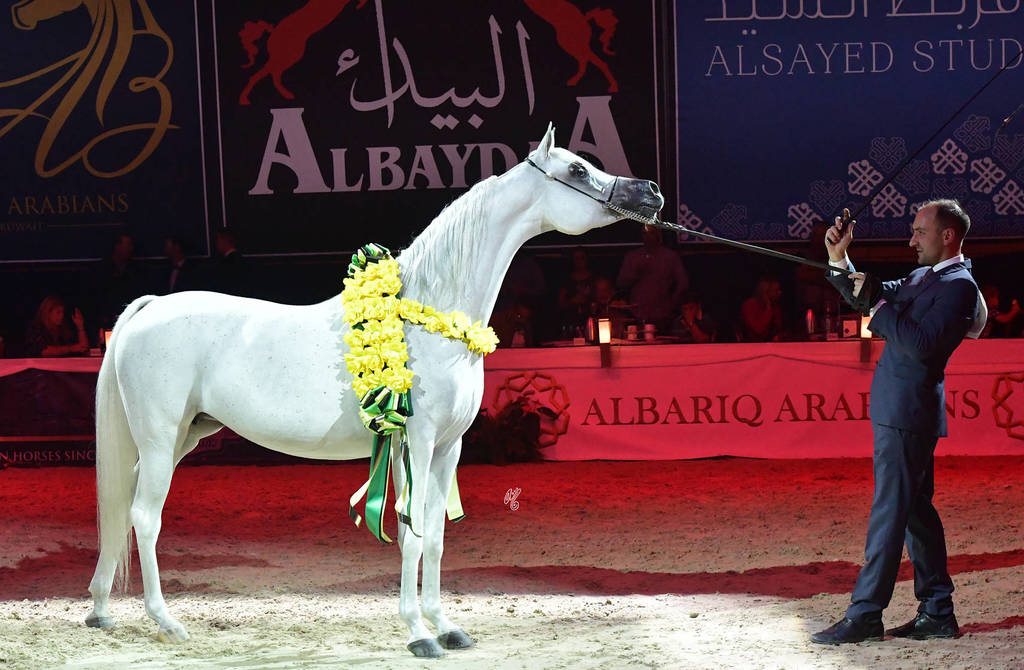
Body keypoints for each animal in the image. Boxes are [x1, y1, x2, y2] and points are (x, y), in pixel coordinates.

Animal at [84, 124, 663, 657]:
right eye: (577, 171)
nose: (652, 192)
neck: (432, 316)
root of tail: (150, 307)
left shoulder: (448, 448)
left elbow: (433, 536)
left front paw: (445, 626)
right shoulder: (418, 442)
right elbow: (412, 534)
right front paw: (419, 634)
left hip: (182, 437)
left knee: (120, 506)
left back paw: (100, 610)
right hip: (161, 439)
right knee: (144, 517)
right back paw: (166, 622)